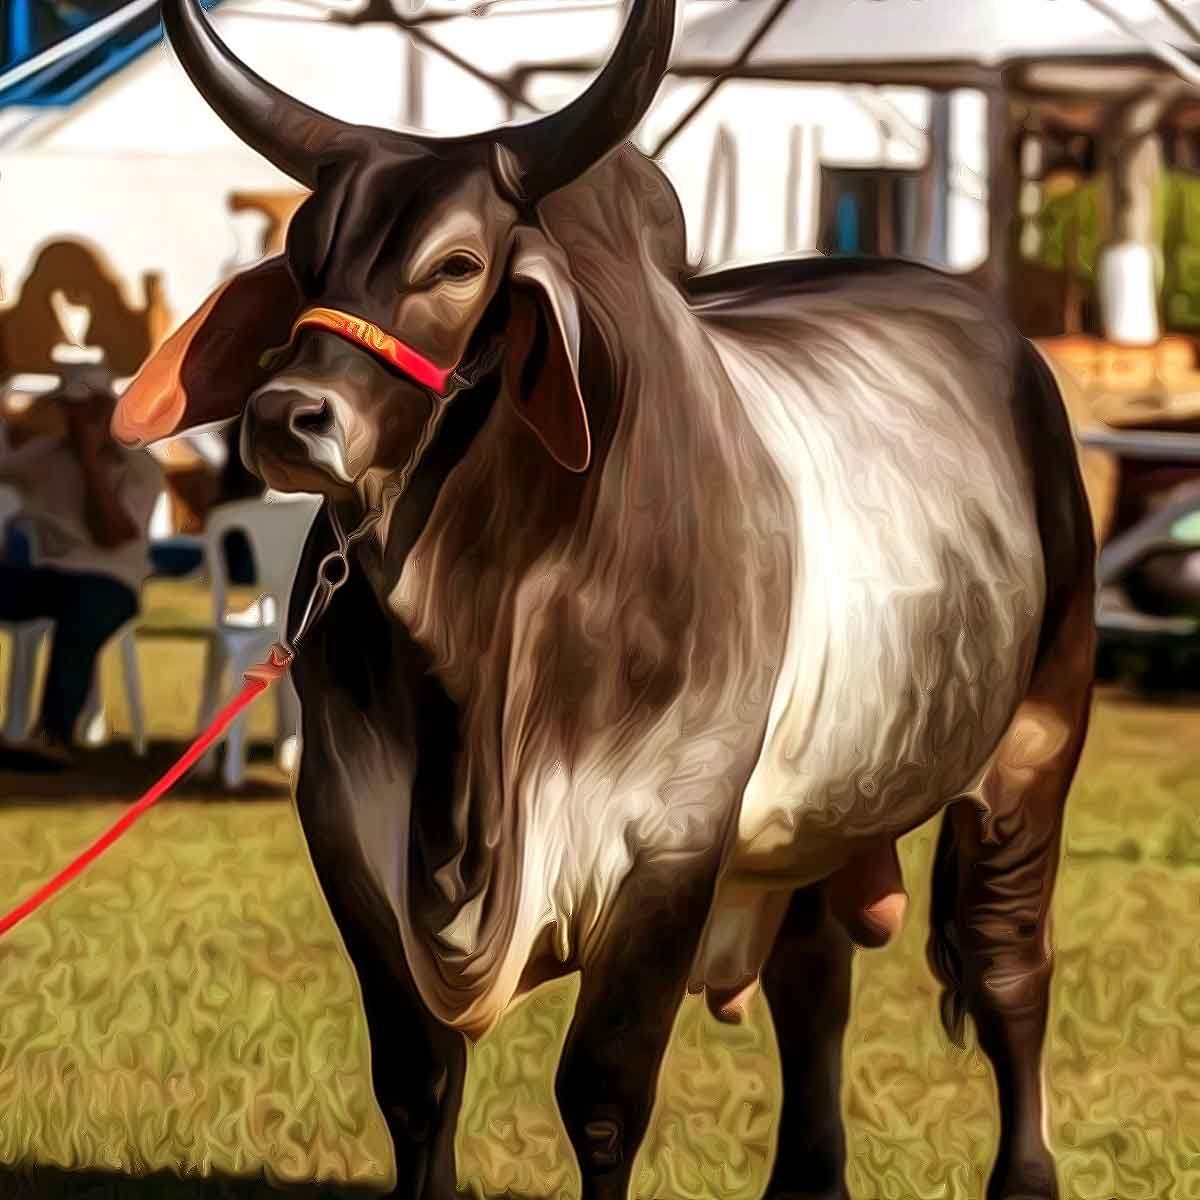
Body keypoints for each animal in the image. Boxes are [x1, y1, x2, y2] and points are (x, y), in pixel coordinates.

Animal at [114, 1, 1096, 1197]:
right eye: (304, 257)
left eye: (457, 263)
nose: (283, 417)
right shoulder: (348, 833)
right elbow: (418, 1085)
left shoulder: (668, 848)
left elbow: (602, 1100)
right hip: (813, 817)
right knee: (813, 980)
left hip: (1033, 751)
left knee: (1009, 974)